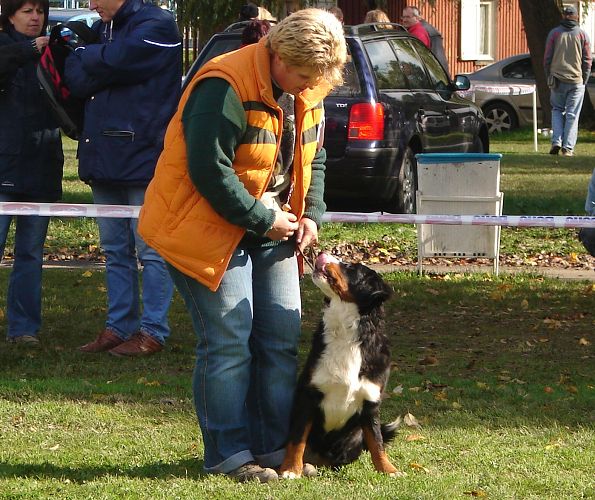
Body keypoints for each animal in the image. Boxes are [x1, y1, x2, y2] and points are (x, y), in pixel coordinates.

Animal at [280, 252, 400, 478]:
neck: (346, 334)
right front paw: (291, 469)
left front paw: (389, 469)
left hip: (355, 435)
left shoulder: (371, 401)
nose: (321, 253)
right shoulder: (308, 395)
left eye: (351, 267)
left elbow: (377, 442)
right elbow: (297, 439)